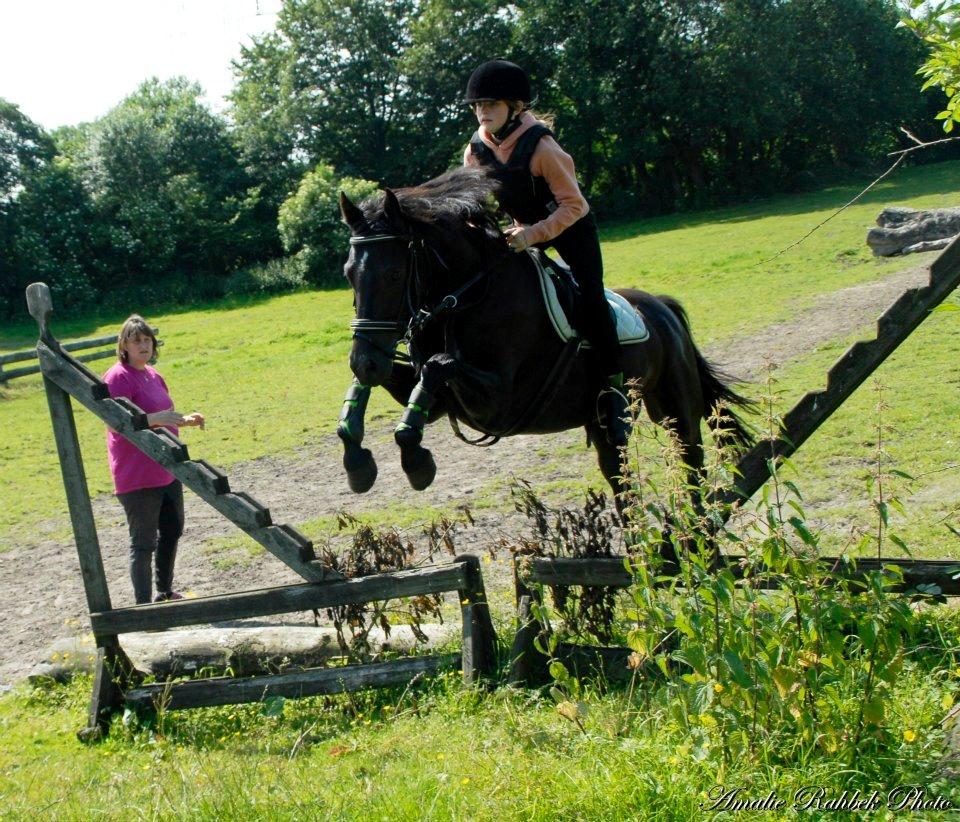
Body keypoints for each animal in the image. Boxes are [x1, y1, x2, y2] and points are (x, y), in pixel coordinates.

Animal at [336, 167, 752, 508]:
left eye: (393, 274)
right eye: (348, 274)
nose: (365, 359)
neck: (467, 296)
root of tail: (663, 308)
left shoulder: (499, 404)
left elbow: (437, 367)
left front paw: (416, 462)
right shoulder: (437, 399)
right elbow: (385, 386)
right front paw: (357, 461)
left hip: (675, 408)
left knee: (692, 461)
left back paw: (699, 533)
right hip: (603, 426)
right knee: (620, 481)